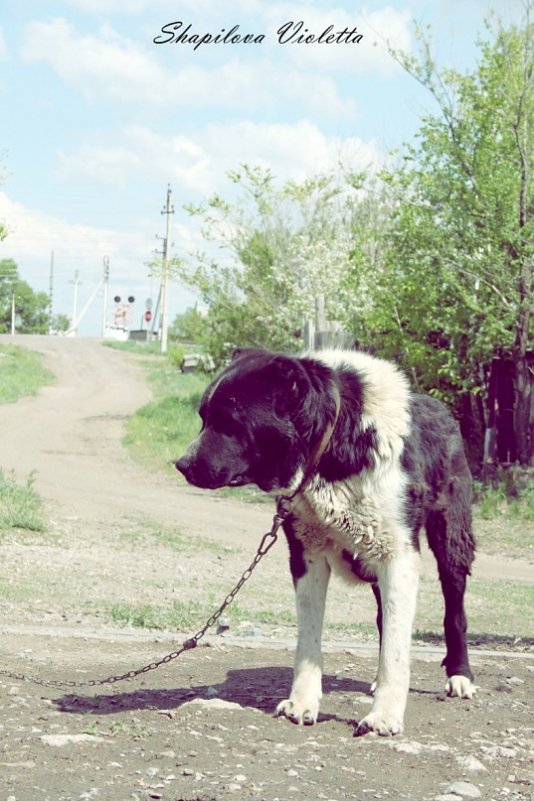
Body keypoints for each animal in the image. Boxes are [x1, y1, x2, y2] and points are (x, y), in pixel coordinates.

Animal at [176, 346, 478, 736]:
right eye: (204, 418)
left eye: (229, 422)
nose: (181, 464)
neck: (335, 444)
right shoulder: (307, 558)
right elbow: (309, 638)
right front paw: (302, 704)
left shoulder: (398, 557)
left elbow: (397, 650)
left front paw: (385, 716)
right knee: (383, 618)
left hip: (451, 541)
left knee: (454, 613)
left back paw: (460, 677)